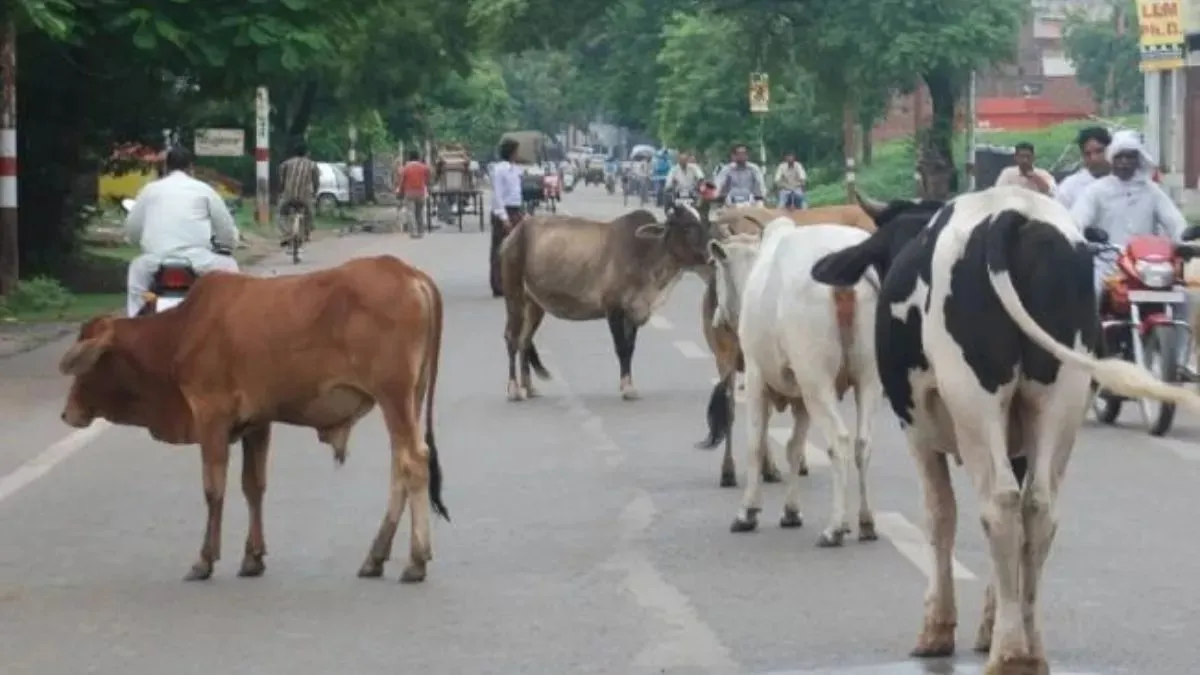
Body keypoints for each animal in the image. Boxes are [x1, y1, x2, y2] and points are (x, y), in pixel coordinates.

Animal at [58, 256, 449, 584]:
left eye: (84, 365)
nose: (66, 413)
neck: (179, 333)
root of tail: (409, 274)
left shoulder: (211, 417)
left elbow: (214, 488)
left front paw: (205, 560)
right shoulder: (257, 423)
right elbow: (253, 486)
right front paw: (253, 557)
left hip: (393, 396)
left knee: (414, 461)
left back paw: (415, 562)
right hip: (409, 399)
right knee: (401, 466)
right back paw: (376, 557)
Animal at [500, 205, 711, 401]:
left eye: (703, 222)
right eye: (687, 227)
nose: (710, 256)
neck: (646, 253)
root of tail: (516, 232)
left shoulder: (633, 311)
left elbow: (630, 349)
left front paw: (629, 385)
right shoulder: (613, 309)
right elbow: (621, 348)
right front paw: (627, 388)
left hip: (534, 305)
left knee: (525, 340)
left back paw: (529, 387)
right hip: (514, 297)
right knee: (512, 338)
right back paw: (513, 389)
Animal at [708, 221, 882, 544]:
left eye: (714, 266)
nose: (718, 319)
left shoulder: (756, 375)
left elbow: (755, 443)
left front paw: (747, 512)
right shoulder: (801, 396)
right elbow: (794, 447)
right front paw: (790, 511)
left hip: (817, 382)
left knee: (840, 440)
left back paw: (833, 529)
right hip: (868, 379)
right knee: (863, 444)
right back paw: (866, 522)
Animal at [808, 186, 1200, 674]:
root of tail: (1012, 212)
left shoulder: (915, 425)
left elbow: (940, 515)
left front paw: (938, 630)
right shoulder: (1018, 440)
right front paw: (988, 624)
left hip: (976, 401)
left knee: (998, 503)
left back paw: (1010, 652)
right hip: (1058, 400)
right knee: (1037, 507)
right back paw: (1030, 646)